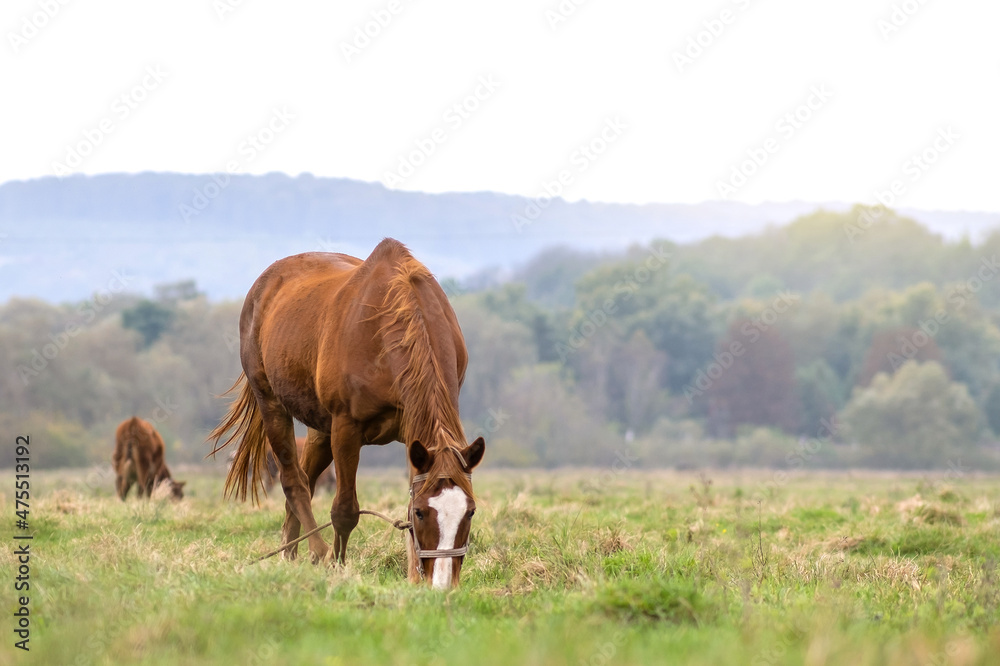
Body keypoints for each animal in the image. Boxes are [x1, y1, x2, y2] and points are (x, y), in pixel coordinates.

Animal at [210, 239, 484, 588]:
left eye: (470, 511)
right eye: (422, 512)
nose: (442, 583)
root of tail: (264, 285)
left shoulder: (413, 433)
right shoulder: (346, 429)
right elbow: (344, 511)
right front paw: (336, 566)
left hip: (320, 427)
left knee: (306, 477)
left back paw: (290, 551)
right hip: (272, 403)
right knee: (293, 480)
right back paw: (316, 550)